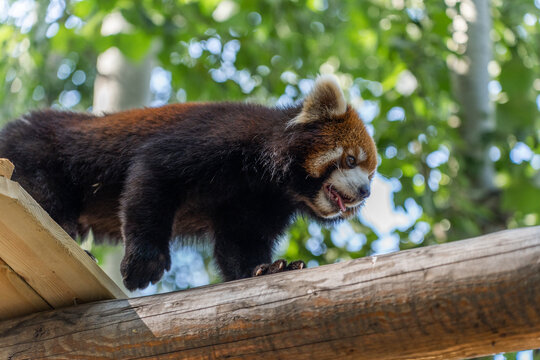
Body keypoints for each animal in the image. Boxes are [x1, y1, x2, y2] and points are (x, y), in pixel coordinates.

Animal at [0, 75, 378, 290]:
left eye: (370, 173)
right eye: (350, 160)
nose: (365, 191)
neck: (270, 178)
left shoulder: (257, 203)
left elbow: (240, 242)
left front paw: (265, 269)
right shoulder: (217, 138)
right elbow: (151, 176)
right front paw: (144, 262)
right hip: (35, 156)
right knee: (46, 198)